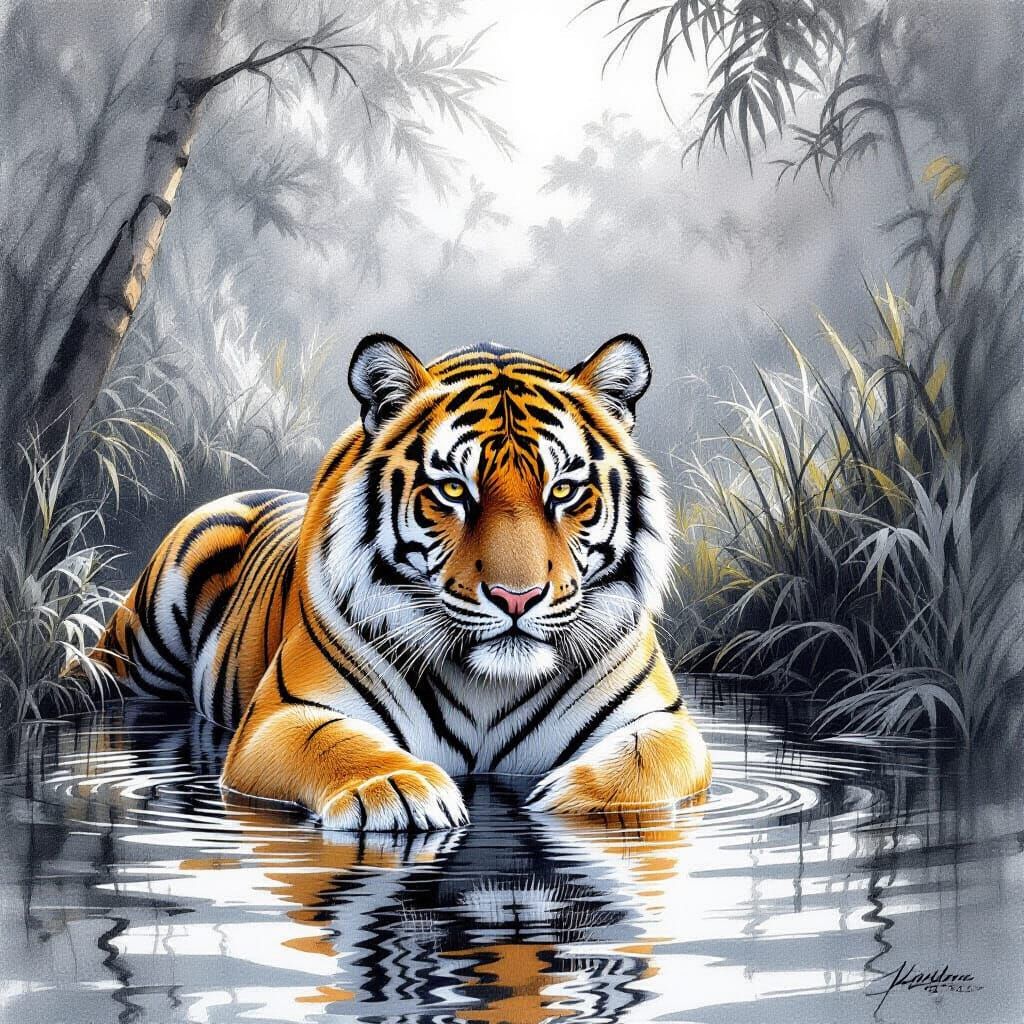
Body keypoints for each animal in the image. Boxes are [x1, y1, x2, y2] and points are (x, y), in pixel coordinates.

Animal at [89, 333, 712, 831]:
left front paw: (573, 800)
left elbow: (642, 761)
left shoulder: (666, 723)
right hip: (136, 641)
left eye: (563, 491)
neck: (489, 688)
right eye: (454, 490)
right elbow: (336, 744)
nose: (516, 598)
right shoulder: (282, 714)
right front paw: (395, 789)